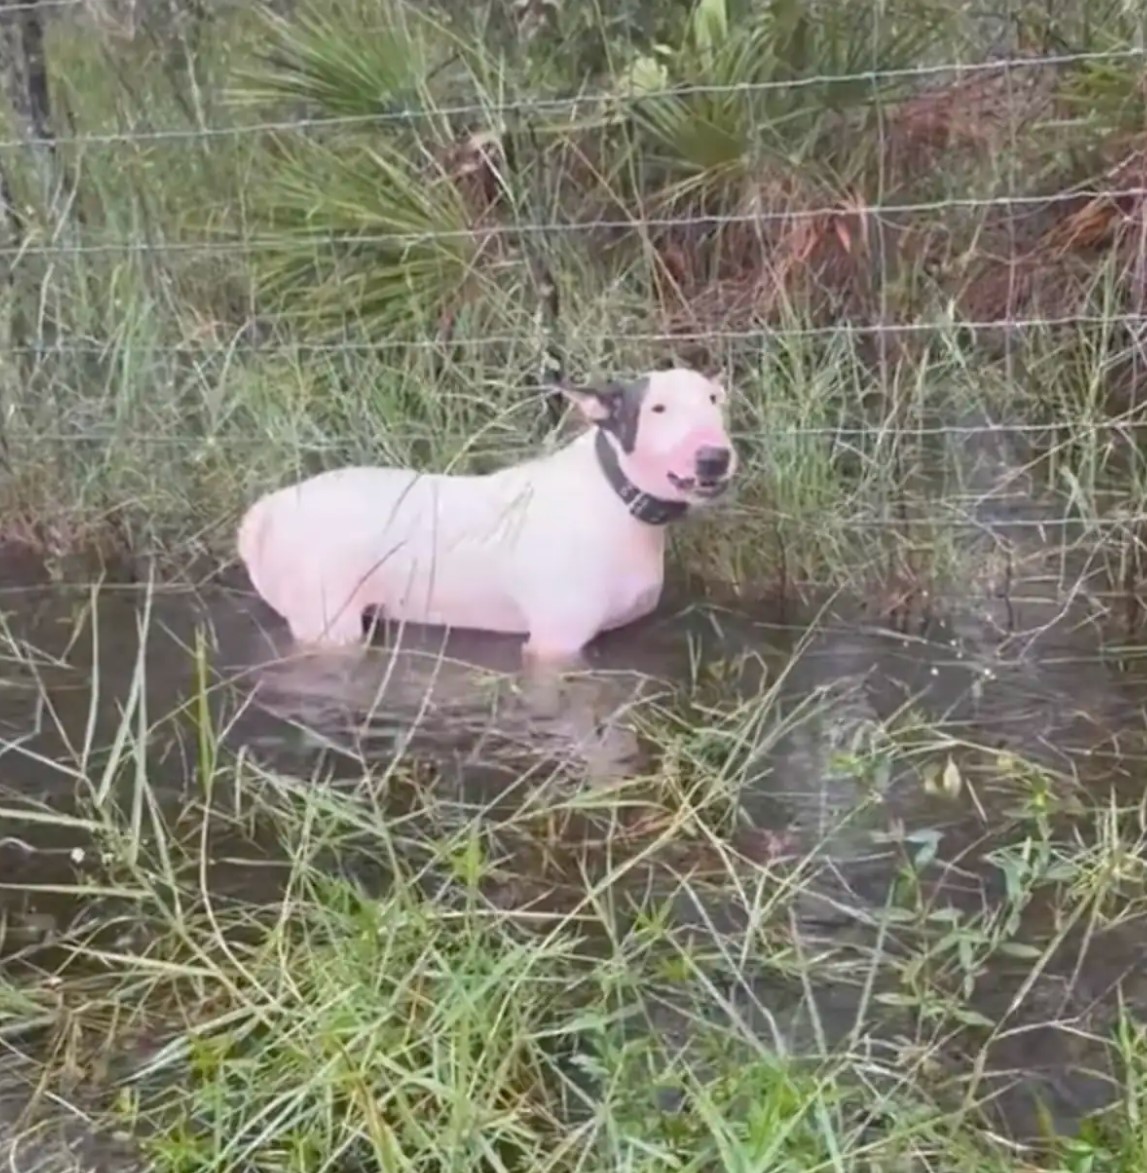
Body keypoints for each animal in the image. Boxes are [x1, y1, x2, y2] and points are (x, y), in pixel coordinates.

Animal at [236, 373, 736, 670]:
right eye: (657, 408)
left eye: (715, 400)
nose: (715, 457)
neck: (616, 499)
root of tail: (268, 509)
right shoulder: (554, 644)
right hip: (327, 623)